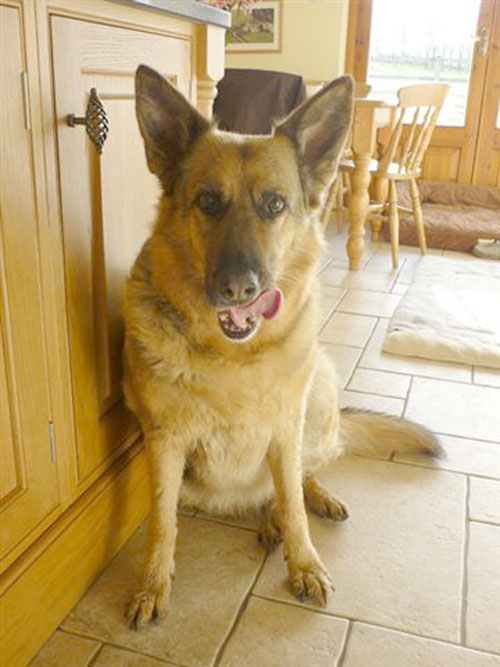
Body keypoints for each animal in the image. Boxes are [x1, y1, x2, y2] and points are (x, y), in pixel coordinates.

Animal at [122, 65, 442, 628]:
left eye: (274, 204)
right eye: (208, 201)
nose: (237, 288)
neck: (232, 359)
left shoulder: (285, 429)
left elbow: (293, 503)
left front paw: (304, 561)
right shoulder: (163, 444)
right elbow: (161, 522)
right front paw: (153, 583)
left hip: (320, 391)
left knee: (303, 476)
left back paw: (304, 504)